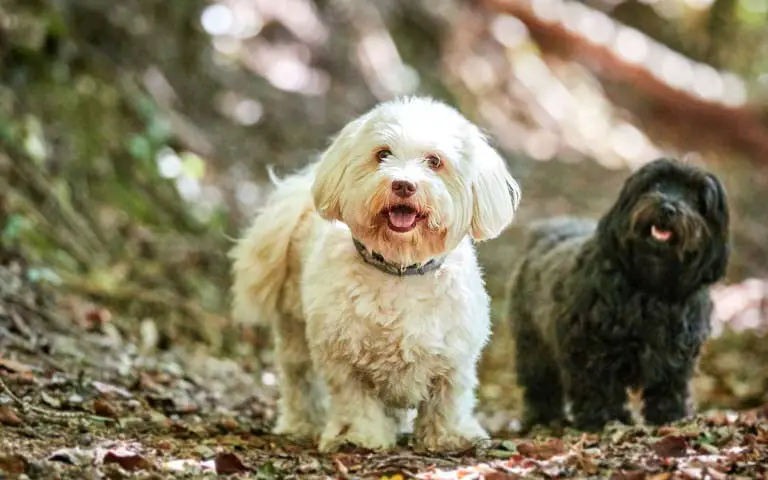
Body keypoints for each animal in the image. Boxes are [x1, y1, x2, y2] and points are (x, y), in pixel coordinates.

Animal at [231, 96, 520, 450]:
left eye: (434, 161)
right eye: (383, 154)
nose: (403, 185)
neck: (401, 269)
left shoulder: (455, 356)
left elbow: (448, 399)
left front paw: (450, 436)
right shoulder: (343, 358)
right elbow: (355, 401)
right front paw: (360, 436)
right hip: (294, 328)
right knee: (298, 379)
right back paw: (300, 424)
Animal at [508, 158, 728, 432]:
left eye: (697, 200)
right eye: (656, 184)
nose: (668, 207)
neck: (652, 284)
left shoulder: (677, 353)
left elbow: (670, 387)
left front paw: (671, 416)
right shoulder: (589, 348)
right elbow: (598, 387)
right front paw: (604, 419)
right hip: (534, 344)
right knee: (540, 383)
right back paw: (543, 418)